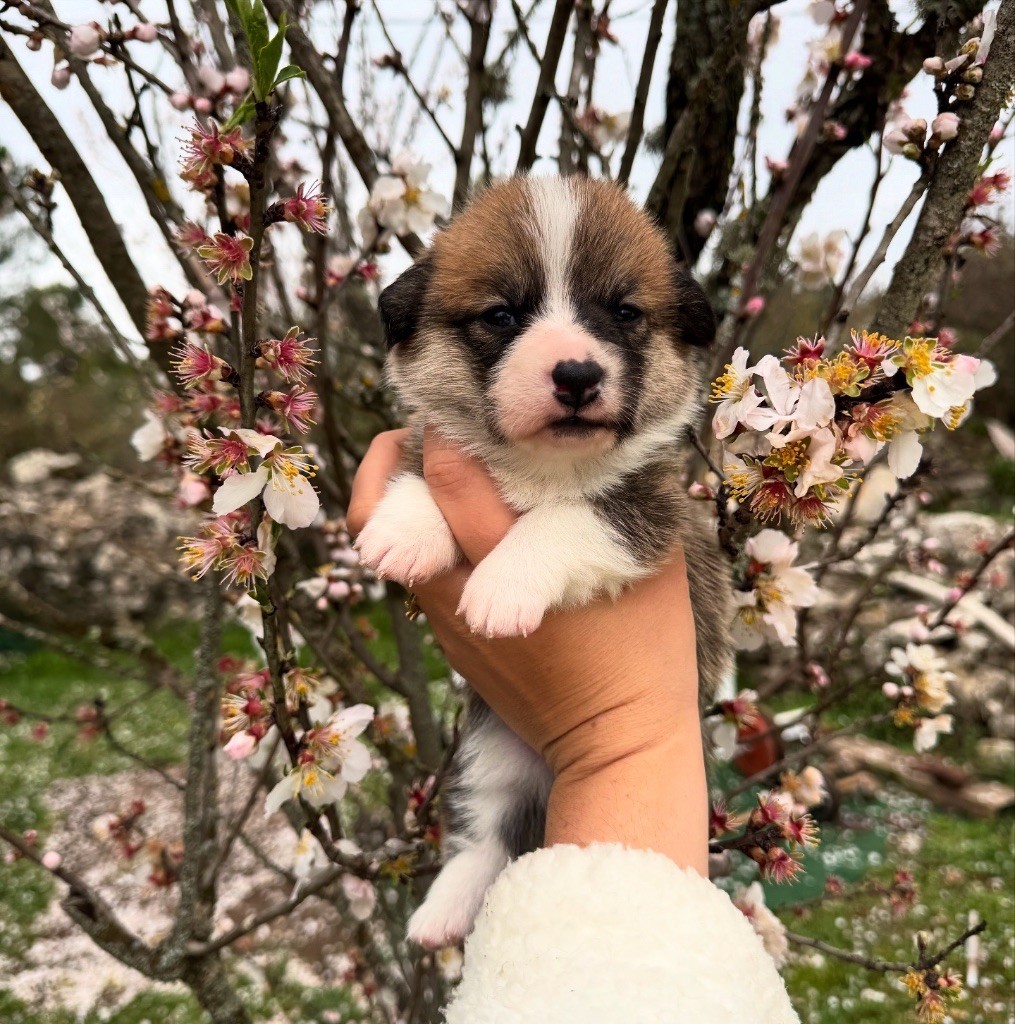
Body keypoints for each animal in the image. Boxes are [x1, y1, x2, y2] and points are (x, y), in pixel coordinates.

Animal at [356, 178, 729, 950]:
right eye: (501, 315)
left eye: (625, 312)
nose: (578, 374)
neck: (543, 468)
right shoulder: (435, 445)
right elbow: (419, 467)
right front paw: (404, 529)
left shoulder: (649, 511)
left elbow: (567, 520)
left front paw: (502, 585)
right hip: (490, 754)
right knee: (487, 839)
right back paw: (442, 910)